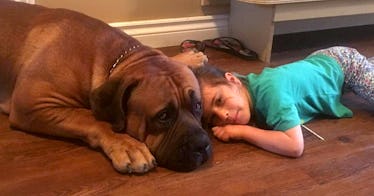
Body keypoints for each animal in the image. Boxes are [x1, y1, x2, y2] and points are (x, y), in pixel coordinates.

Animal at [0, 1, 210, 173]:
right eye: (163, 116)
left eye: (198, 106)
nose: (203, 144)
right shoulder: (32, 104)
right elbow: (89, 117)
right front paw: (128, 144)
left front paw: (189, 57)